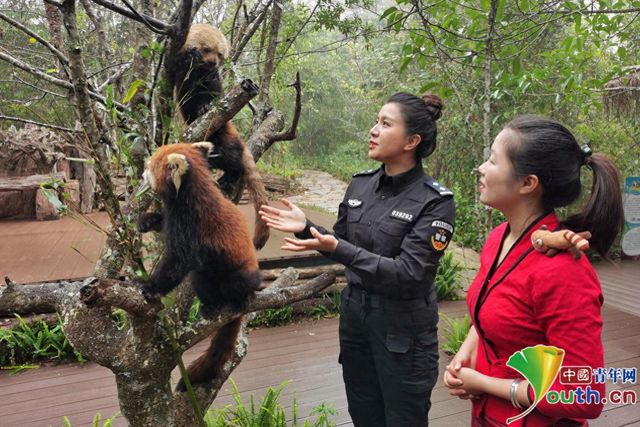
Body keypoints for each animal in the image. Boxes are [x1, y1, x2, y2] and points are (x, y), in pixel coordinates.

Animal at [138, 142, 262, 390]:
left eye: (149, 166)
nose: (141, 174)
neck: (188, 193)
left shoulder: (193, 221)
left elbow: (180, 261)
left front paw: (151, 286)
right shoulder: (174, 215)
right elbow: (162, 223)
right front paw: (147, 220)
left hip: (242, 272)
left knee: (237, 283)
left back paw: (240, 298)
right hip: (205, 277)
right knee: (200, 278)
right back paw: (210, 305)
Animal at [166, 23, 268, 249]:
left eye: (220, 54)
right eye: (206, 49)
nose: (213, 62)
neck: (199, 70)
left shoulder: (212, 80)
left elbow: (212, 94)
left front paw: (205, 106)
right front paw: (190, 55)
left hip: (224, 138)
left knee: (232, 159)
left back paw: (229, 176)